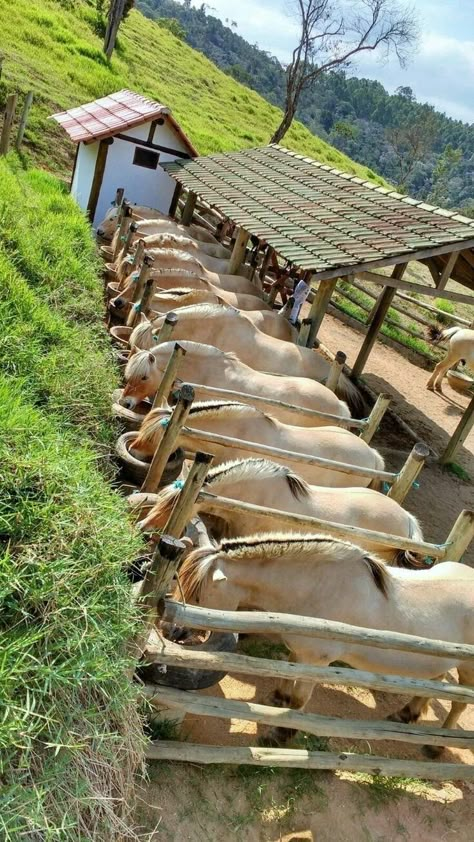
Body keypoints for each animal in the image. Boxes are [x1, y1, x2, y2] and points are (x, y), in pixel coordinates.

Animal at [173, 532, 474, 748]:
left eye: (197, 594)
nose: (172, 631)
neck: (319, 588)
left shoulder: (317, 663)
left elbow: (299, 700)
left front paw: (280, 734)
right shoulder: (299, 651)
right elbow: (286, 675)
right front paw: (278, 699)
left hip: (467, 670)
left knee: (459, 703)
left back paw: (436, 747)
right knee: (434, 684)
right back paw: (405, 715)